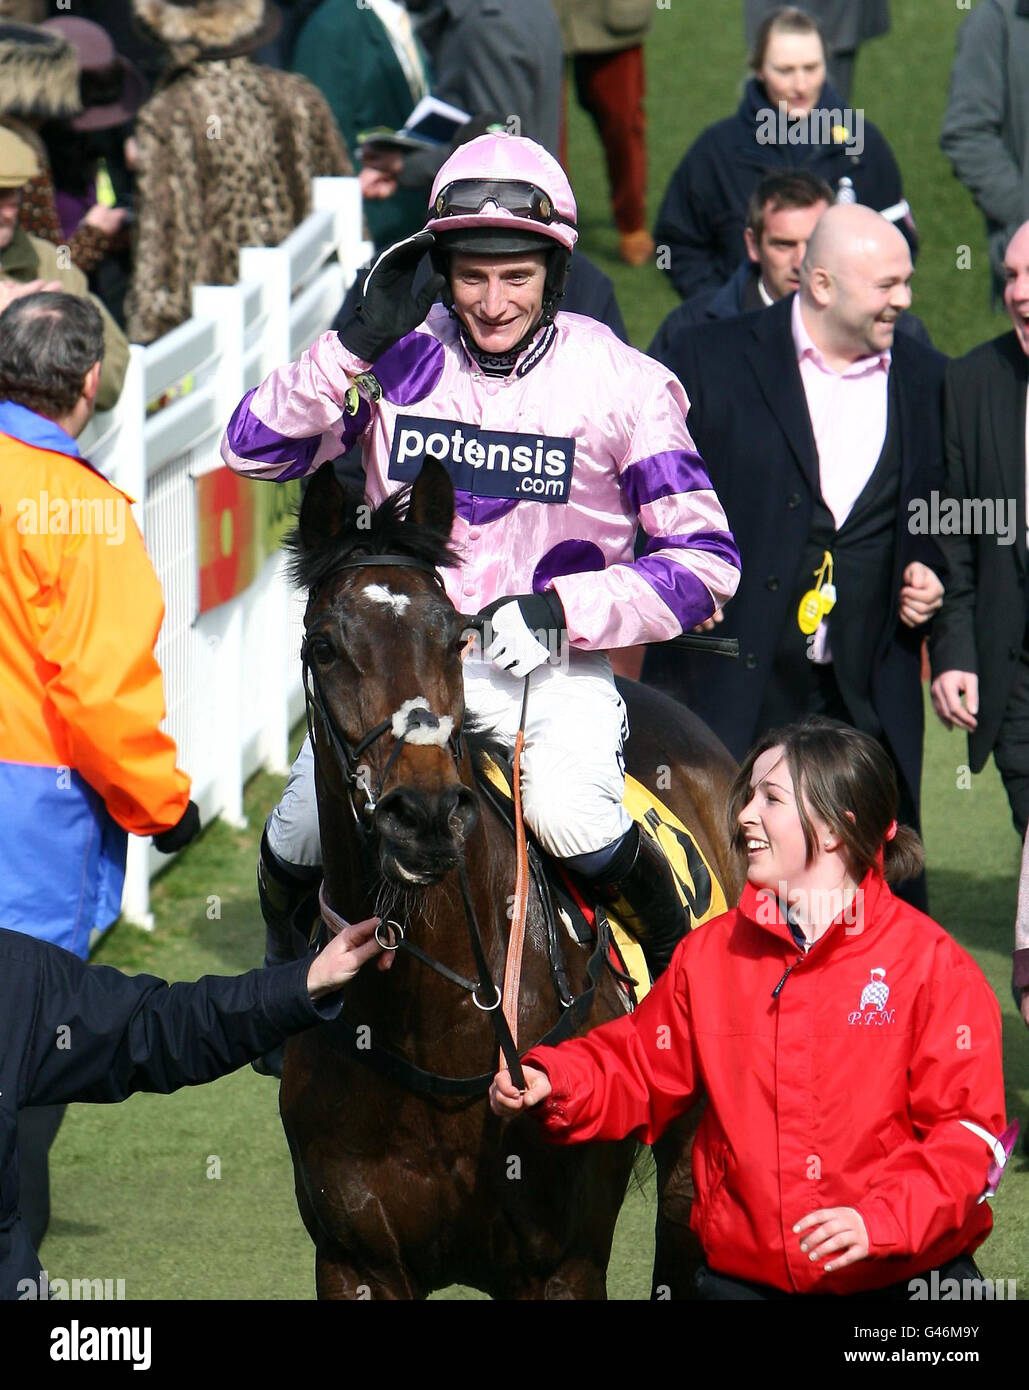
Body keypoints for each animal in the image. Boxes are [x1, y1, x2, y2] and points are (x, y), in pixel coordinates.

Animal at [276, 461, 745, 1295]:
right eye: (325, 645)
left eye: (454, 635)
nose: (423, 814)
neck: (434, 1021)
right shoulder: (354, 1259)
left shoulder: (561, 1264)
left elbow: (700, 551)